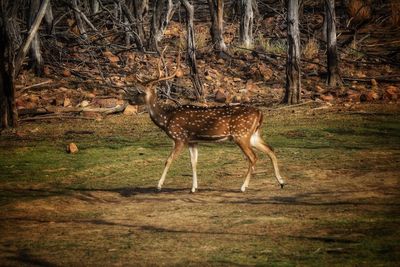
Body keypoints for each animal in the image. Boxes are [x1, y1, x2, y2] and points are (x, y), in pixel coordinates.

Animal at [129, 54, 284, 193]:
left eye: (139, 93)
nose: (130, 100)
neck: (166, 119)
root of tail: (260, 113)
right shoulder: (192, 140)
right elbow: (193, 162)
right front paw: (194, 188)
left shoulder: (179, 137)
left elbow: (168, 160)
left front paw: (159, 186)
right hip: (253, 135)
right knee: (271, 149)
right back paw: (281, 182)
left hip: (241, 135)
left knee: (253, 157)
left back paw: (243, 187)